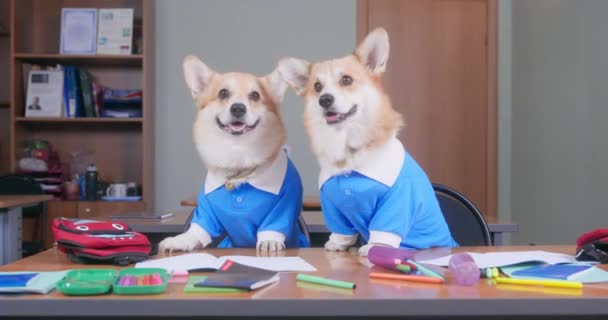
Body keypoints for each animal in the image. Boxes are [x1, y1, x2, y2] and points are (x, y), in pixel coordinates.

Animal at [159, 56, 308, 254]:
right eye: (223, 93)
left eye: (255, 95)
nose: (238, 108)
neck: (238, 156)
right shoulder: (206, 211)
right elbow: (196, 231)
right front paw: (180, 240)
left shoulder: (284, 204)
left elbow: (273, 225)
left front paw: (269, 241)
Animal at [280, 28, 456, 256]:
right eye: (317, 87)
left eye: (346, 80)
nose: (324, 100)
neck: (347, 145)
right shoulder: (331, 204)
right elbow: (341, 230)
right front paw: (336, 244)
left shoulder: (398, 198)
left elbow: (384, 228)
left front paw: (374, 247)